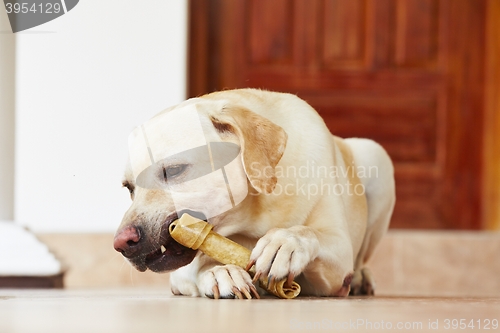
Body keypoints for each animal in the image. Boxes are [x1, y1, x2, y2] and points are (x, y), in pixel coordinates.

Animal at [114, 87, 394, 296]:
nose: (121, 243)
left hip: (377, 158)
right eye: (129, 188)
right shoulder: (180, 270)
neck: (254, 212)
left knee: (361, 259)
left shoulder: (337, 262)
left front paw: (285, 242)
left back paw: (361, 279)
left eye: (173, 171)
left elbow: (308, 232)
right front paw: (220, 271)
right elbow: (199, 264)